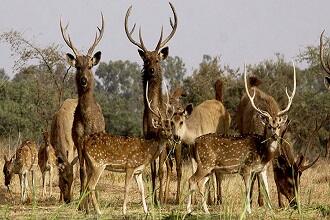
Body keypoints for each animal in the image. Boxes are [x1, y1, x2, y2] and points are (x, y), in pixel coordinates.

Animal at [82, 82, 174, 215]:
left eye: (170, 128)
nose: (171, 136)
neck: (147, 152)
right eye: (162, 128)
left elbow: (142, 190)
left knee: (86, 185)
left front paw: (146, 211)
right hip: (98, 163)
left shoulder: (138, 171)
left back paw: (87, 211)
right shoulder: (130, 165)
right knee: (91, 186)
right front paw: (124, 211)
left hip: (89, 164)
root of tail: (84, 142)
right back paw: (99, 211)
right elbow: (126, 188)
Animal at [125, 2, 179, 205]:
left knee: (173, 169)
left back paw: (171, 197)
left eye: (157, 59)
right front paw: (153, 198)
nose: (152, 70)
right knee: (168, 167)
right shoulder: (148, 139)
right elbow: (154, 171)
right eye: (146, 60)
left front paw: (159, 200)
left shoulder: (163, 141)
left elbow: (161, 170)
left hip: (176, 146)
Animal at [187, 62, 298, 214]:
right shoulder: (246, 168)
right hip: (205, 164)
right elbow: (247, 190)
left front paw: (270, 209)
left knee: (201, 183)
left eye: (278, 126)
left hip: (208, 168)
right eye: (269, 126)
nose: (275, 136)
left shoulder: (262, 169)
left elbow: (267, 189)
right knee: (192, 180)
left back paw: (206, 211)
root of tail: (194, 143)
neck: (262, 152)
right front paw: (248, 211)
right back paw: (189, 210)